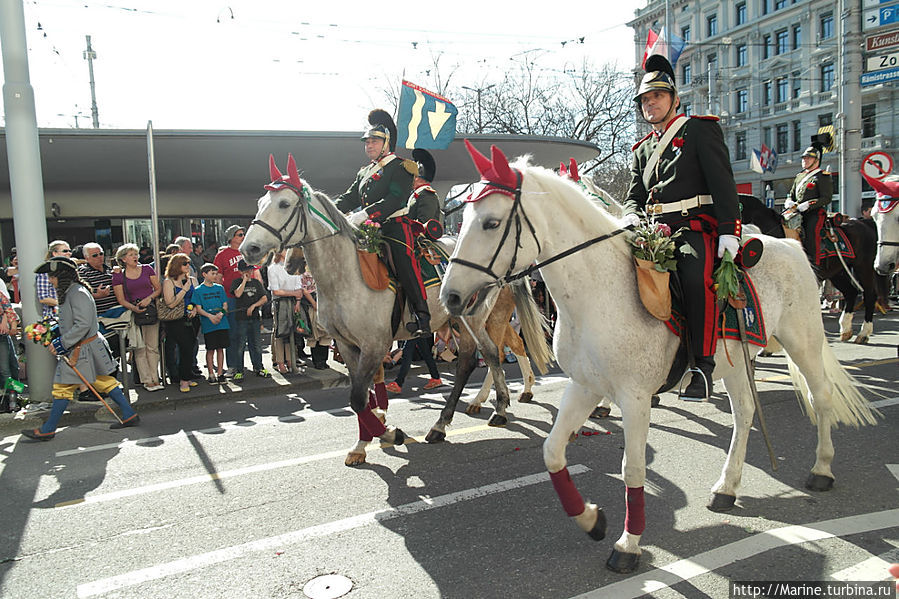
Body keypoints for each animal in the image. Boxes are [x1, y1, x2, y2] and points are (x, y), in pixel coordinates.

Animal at [442, 142, 880, 576]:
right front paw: (591, 519)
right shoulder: (584, 386)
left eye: (491, 223)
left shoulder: (635, 397)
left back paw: (821, 468)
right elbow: (552, 452)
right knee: (744, 414)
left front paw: (628, 544)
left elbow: (633, 468)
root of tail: (788, 244)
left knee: (821, 397)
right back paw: (727, 487)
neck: (598, 291)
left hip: (802, 340)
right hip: (736, 363)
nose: (450, 297)